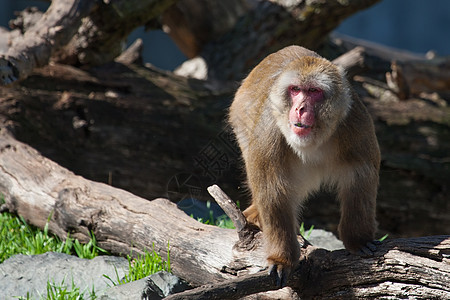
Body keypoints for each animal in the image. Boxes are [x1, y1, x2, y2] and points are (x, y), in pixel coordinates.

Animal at [229, 45, 380, 286]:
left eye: (313, 91)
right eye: (295, 90)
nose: (300, 108)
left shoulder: (355, 121)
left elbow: (360, 175)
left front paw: (358, 239)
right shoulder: (269, 129)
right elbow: (273, 190)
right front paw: (282, 259)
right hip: (240, 121)